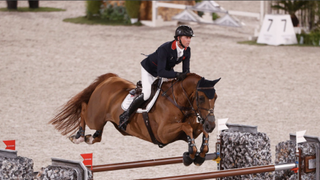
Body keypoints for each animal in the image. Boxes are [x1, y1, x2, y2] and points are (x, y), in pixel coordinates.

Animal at [49, 72, 220, 165]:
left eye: (216, 97)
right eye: (201, 98)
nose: (211, 124)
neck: (177, 100)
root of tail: (109, 78)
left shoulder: (185, 133)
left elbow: (197, 130)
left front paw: (200, 154)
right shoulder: (163, 134)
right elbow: (187, 127)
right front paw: (191, 153)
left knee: (98, 132)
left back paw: (91, 137)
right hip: (94, 116)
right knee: (84, 108)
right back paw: (78, 136)